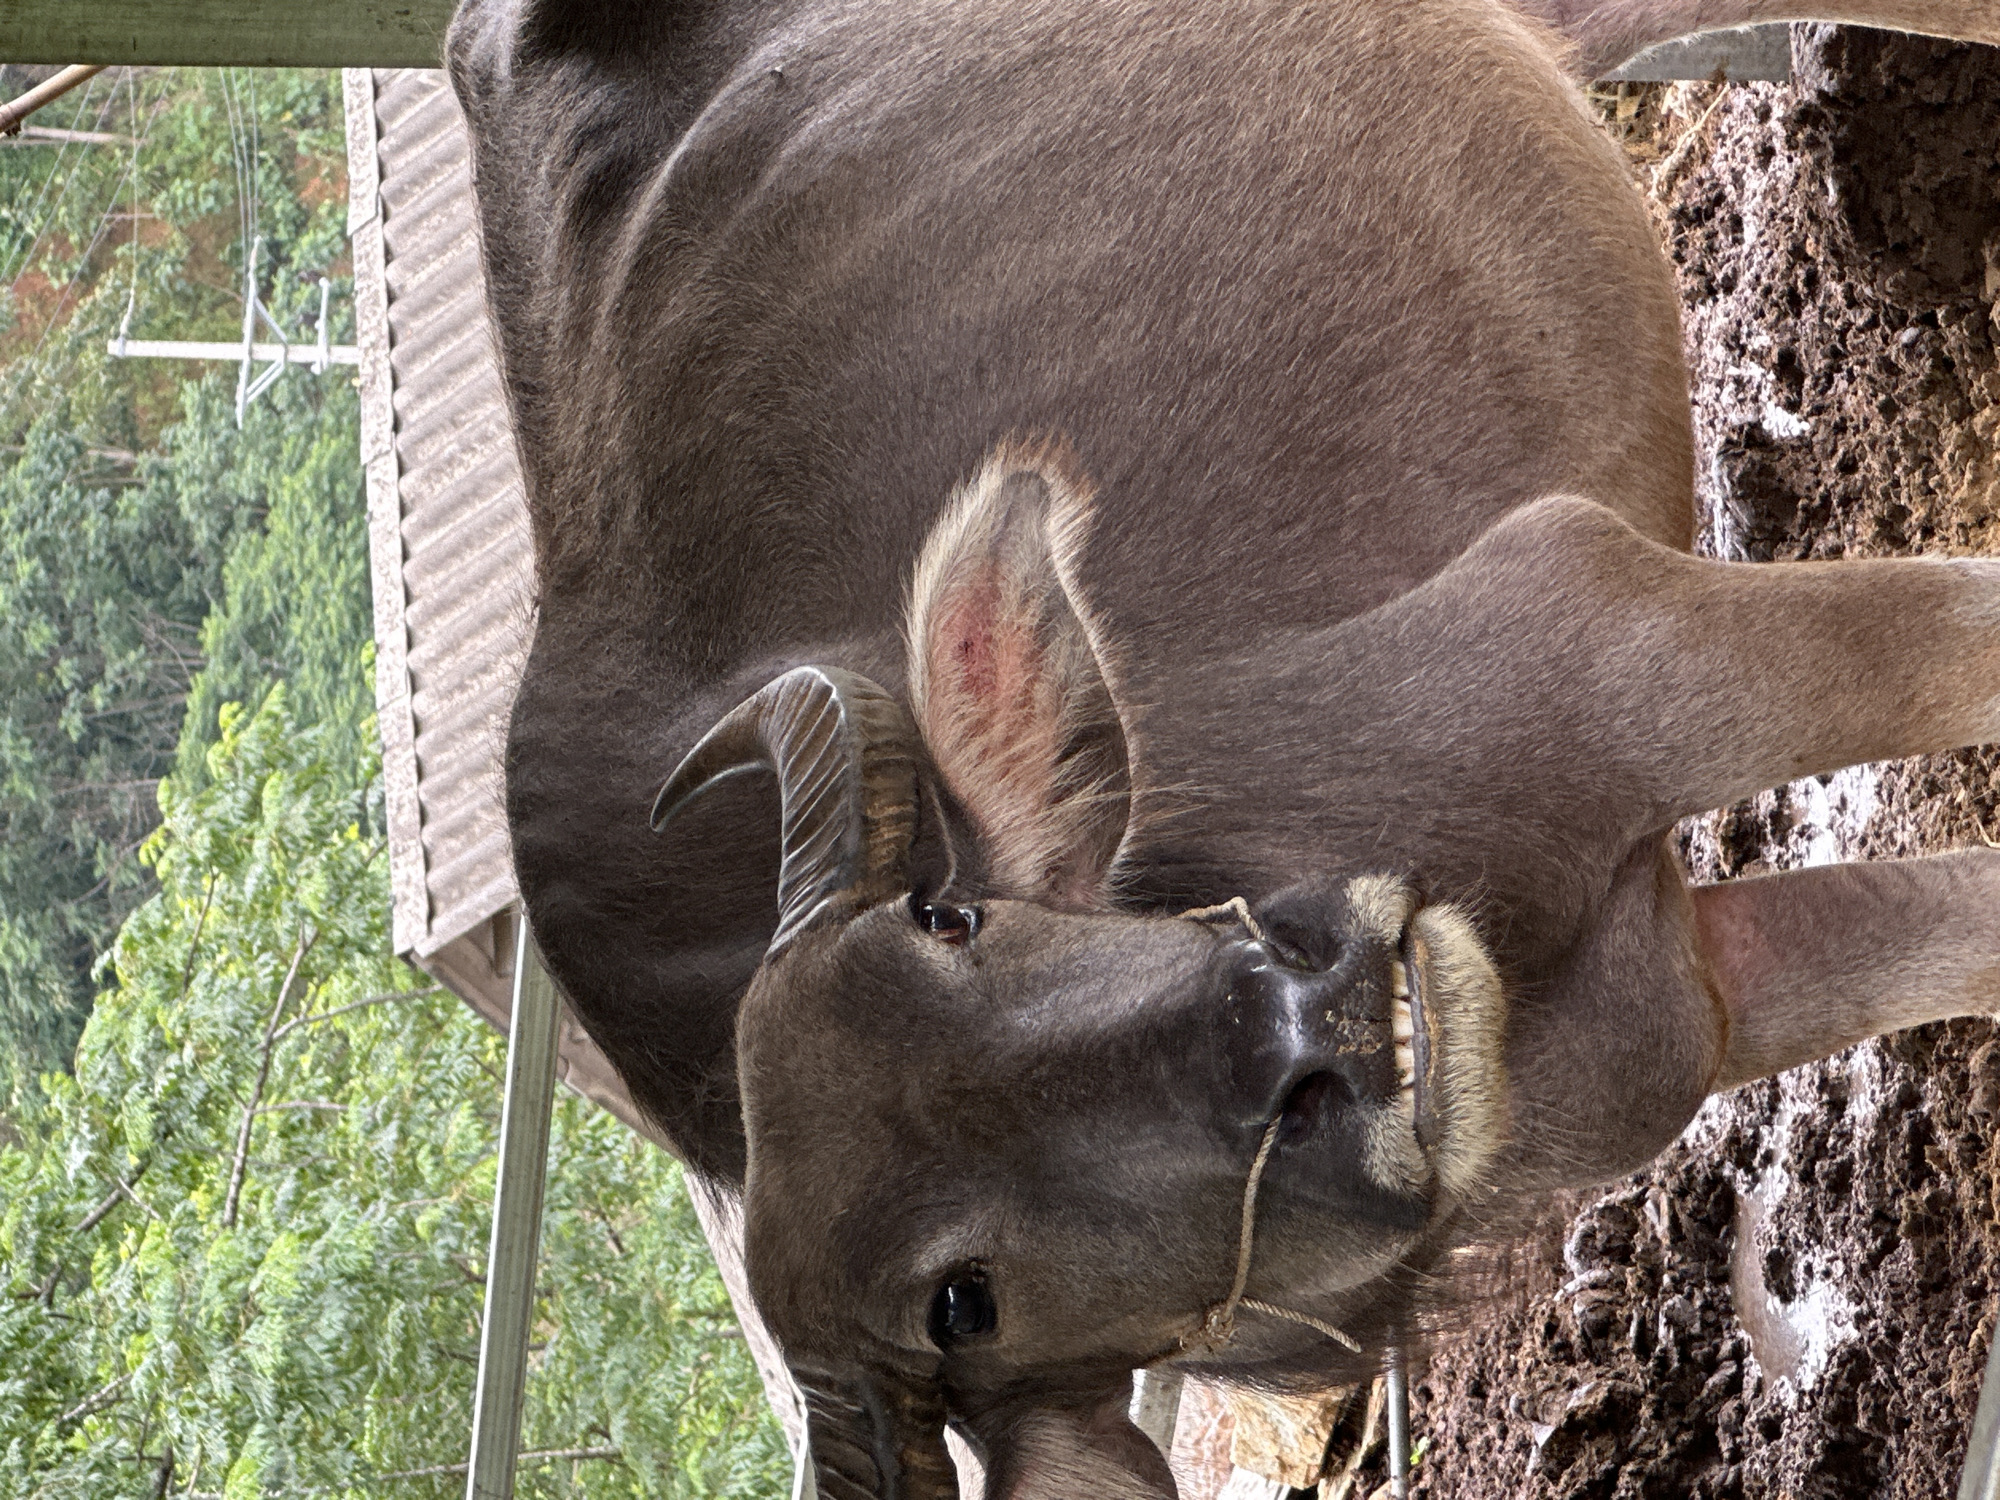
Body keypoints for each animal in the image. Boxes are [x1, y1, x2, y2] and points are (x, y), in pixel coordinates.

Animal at [447, 0, 2000, 1493]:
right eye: (961, 1304)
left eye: (950, 919)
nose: (1308, 1020)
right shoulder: (1685, 1011)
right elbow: (1954, 939)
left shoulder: (1609, 634)